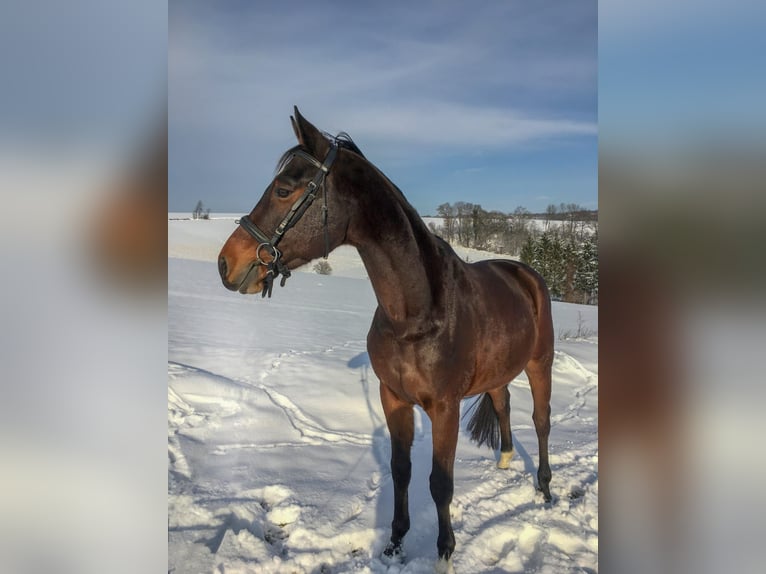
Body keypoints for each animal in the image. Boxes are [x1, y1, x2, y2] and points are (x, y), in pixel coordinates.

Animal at [218, 107, 553, 571]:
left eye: (284, 190)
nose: (226, 264)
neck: (418, 314)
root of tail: (524, 273)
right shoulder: (393, 398)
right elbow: (401, 470)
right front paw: (395, 542)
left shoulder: (444, 407)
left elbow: (440, 482)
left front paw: (444, 554)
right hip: (500, 371)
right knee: (502, 403)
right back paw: (504, 461)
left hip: (541, 364)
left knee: (541, 421)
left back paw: (546, 489)